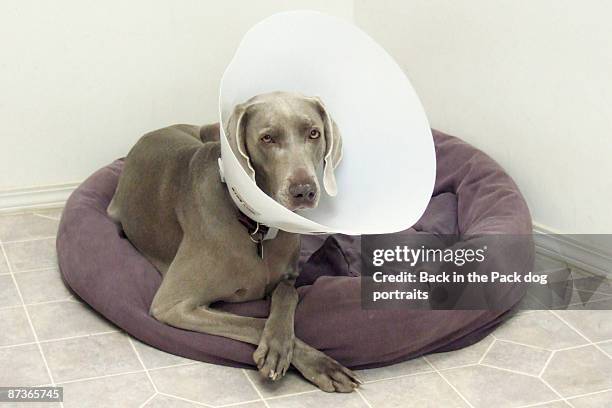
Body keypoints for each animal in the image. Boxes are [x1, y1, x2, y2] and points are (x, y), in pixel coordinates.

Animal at [107, 91, 360, 392]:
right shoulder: (172, 305)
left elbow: (289, 294)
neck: (257, 228)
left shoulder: (288, 278)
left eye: (314, 133)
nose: (304, 191)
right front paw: (287, 354)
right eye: (267, 138)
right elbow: (251, 323)